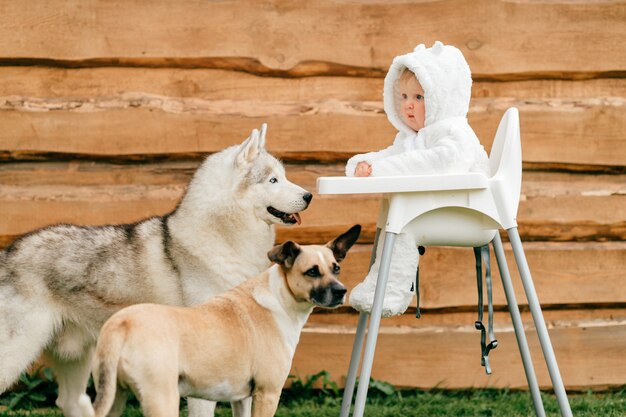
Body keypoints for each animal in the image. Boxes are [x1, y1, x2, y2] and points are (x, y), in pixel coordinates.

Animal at [0, 125, 310, 416]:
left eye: (284, 176)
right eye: (273, 180)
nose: (309, 195)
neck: (225, 240)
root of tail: (9, 253)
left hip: (77, 359)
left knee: (71, 402)